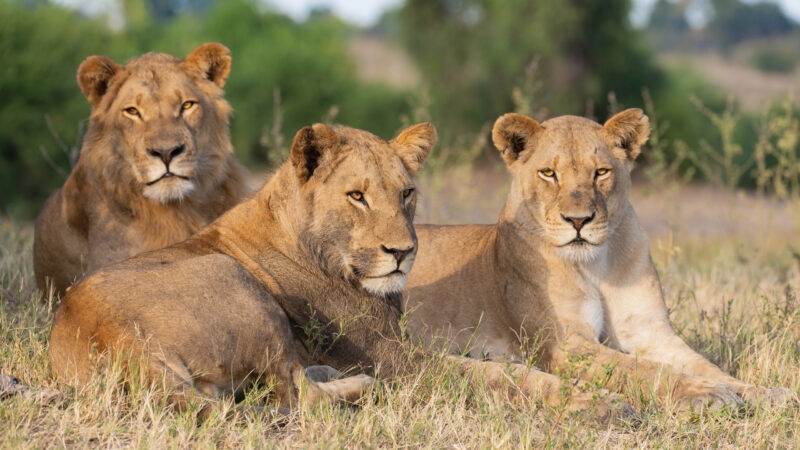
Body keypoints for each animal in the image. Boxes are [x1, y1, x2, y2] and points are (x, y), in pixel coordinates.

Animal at [405, 109, 794, 410]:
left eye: (601, 172)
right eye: (549, 173)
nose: (578, 220)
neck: (596, 266)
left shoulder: (651, 333)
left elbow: (705, 366)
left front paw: (766, 392)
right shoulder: (566, 345)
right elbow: (641, 370)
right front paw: (707, 394)